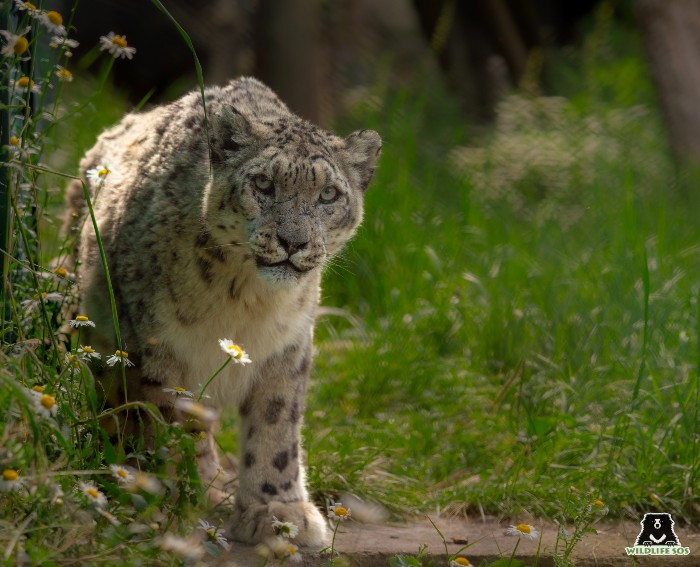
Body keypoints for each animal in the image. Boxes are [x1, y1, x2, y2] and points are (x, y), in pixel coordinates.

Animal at [64, 75, 382, 544]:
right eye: (264, 184)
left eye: (328, 194)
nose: (293, 242)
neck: (246, 300)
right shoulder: (155, 345)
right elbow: (168, 418)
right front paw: (177, 498)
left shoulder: (287, 347)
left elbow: (276, 424)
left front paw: (278, 510)